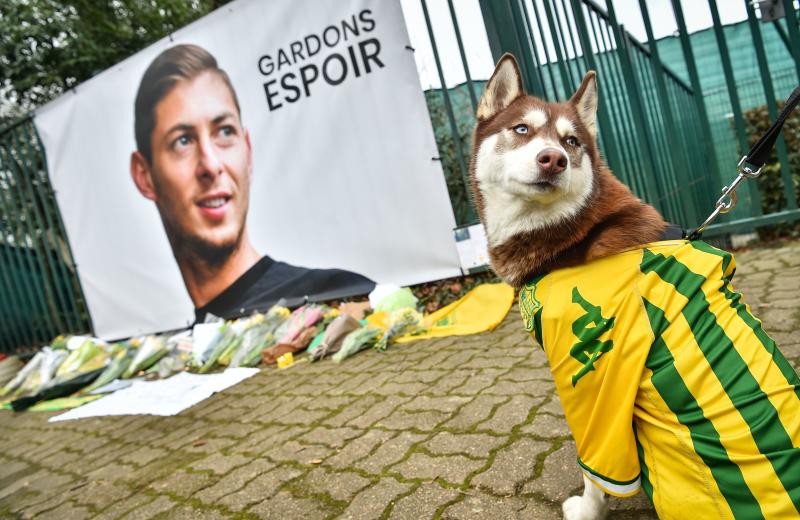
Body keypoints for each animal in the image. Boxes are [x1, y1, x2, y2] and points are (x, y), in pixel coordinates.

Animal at [468, 54, 800, 516]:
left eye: (571, 141)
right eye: (521, 129)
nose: (554, 159)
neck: (572, 235)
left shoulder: (589, 372)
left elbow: (594, 462)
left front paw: (589, 510)